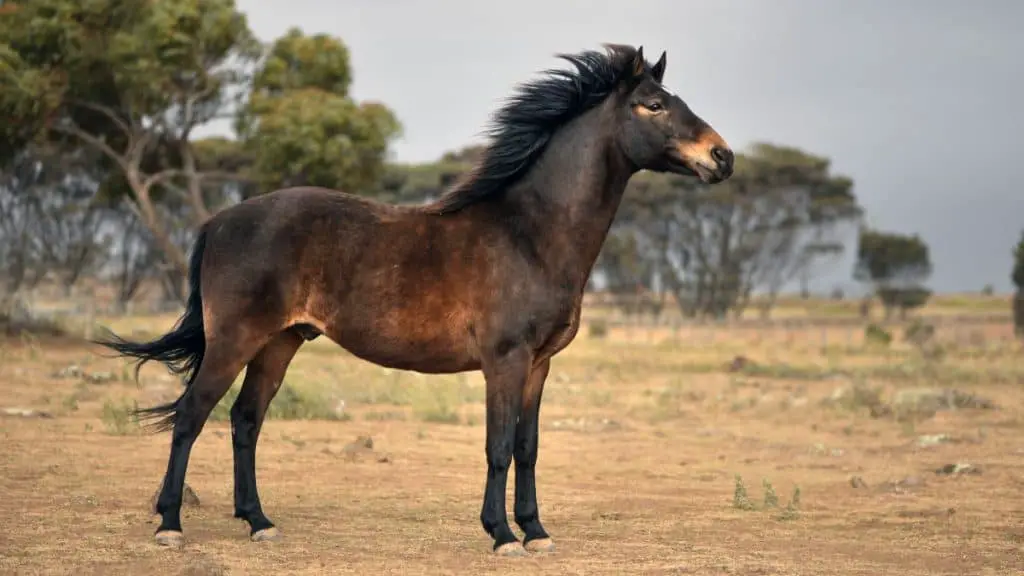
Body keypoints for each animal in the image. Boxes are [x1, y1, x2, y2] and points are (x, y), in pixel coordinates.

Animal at [97, 42, 737, 553]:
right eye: (652, 105)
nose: (723, 157)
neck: (529, 233)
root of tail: (220, 221)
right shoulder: (504, 362)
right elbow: (498, 446)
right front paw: (501, 535)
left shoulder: (539, 365)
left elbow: (528, 447)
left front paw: (535, 531)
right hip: (234, 340)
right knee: (191, 416)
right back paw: (171, 525)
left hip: (279, 344)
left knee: (245, 420)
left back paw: (259, 522)